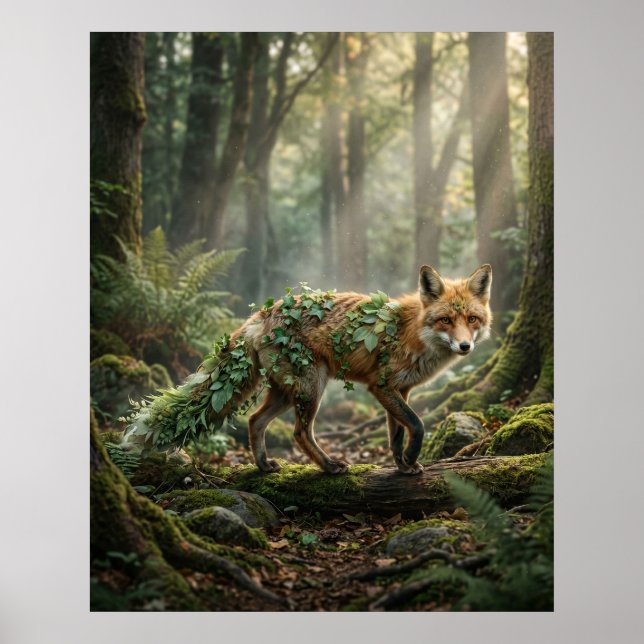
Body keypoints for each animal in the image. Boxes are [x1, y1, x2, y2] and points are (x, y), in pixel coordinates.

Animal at [125, 264, 492, 476]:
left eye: (472, 319)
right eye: (446, 320)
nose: (465, 347)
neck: (414, 332)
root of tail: (264, 313)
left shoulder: (400, 390)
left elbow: (397, 433)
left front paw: (403, 464)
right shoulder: (382, 386)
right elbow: (416, 424)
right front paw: (412, 457)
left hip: (286, 392)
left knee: (255, 420)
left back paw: (263, 465)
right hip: (311, 388)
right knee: (299, 433)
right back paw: (329, 466)